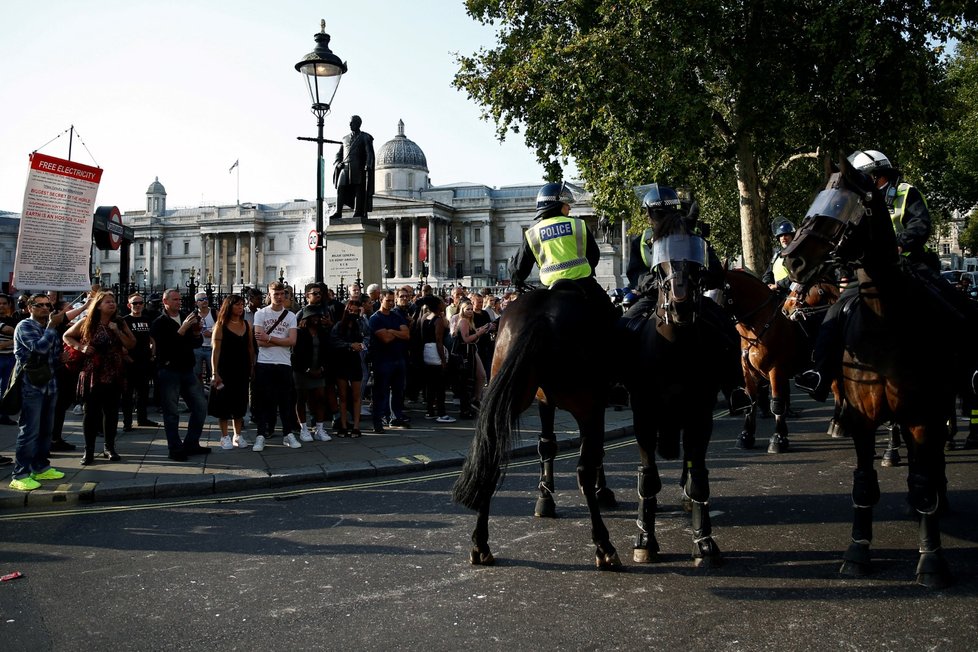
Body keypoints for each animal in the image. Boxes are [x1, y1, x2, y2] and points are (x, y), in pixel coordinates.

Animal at [450, 282, 616, 568]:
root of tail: (541, 316)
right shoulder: (596, 405)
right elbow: (594, 452)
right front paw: (602, 491)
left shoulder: (544, 401)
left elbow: (547, 445)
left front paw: (545, 498)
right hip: (586, 404)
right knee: (584, 467)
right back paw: (603, 545)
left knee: (491, 458)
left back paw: (480, 544)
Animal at [624, 213, 724, 564]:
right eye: (657, 250)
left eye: (696, 249)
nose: (680, 304)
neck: (674, 350)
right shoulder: (643, 417)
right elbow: (649, 478)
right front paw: (645, 539)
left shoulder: (701, 415)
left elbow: (699, 478)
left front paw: (704, 542)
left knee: (692, 465)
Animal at [780, 159, 956, 592]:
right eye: (818, 200)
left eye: (845, 207)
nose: (791, 260)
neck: (885, 320)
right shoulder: (863, 414)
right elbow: (864, 481)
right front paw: (857, 551)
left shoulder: (923, 414)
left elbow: (925, 479)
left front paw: (932, 560)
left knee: (933, 459)